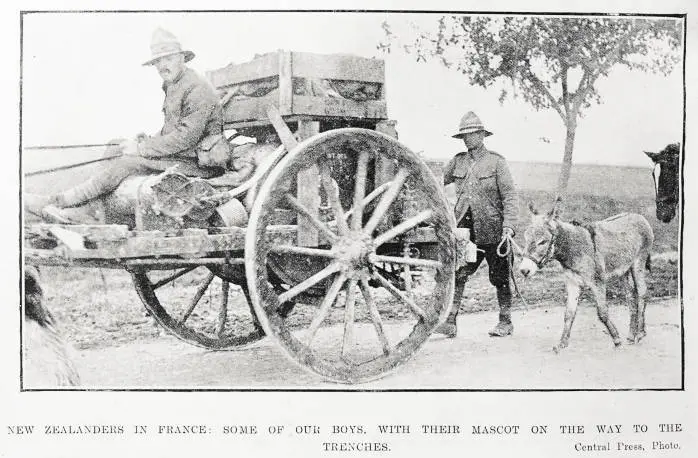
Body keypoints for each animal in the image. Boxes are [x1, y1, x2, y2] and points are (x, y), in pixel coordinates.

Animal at [516, 199, 652, 352]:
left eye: (542, 242)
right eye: (526, 238)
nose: (524, 270)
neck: (574, 248)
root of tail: (637, 215)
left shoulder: (598, 283)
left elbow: (602, 313)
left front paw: (616, 340)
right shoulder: (573, 283)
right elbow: (568, 314)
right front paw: (562, 343)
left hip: (638, 263)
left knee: (642, 293)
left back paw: (640, 333)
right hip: (624, 270)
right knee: (631, 297)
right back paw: (631, 335)